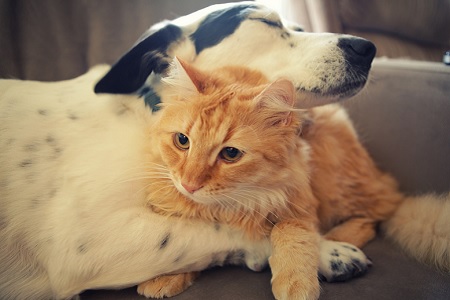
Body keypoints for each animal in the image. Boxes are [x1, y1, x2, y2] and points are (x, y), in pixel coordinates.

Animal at [134, 57, 404, 298]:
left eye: (230, 153)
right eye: (182, 140)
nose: (189, 185)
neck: (225, 207)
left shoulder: (297, 198)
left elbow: (290, 232)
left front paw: (296, 284)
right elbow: (182, 246)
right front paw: (164, 277)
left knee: (373, 215)